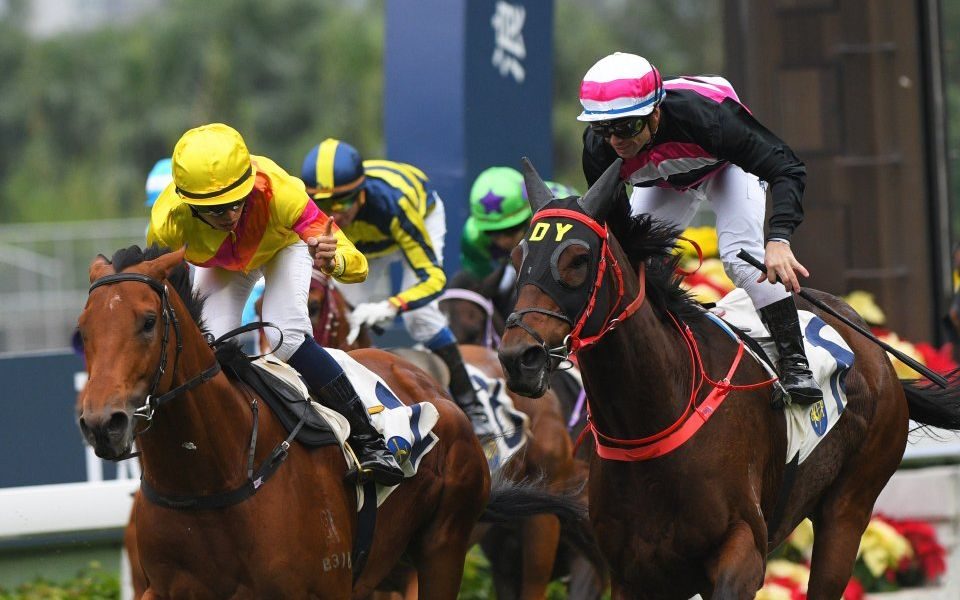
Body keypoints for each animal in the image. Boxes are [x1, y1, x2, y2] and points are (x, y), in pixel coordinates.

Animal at [497, 158, 960, 600]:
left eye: (577, 258)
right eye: (518, 259)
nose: (519, 357)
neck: (652, 419)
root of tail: (872, 345)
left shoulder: (742, 551)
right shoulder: (633, 575)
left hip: (850, 505)